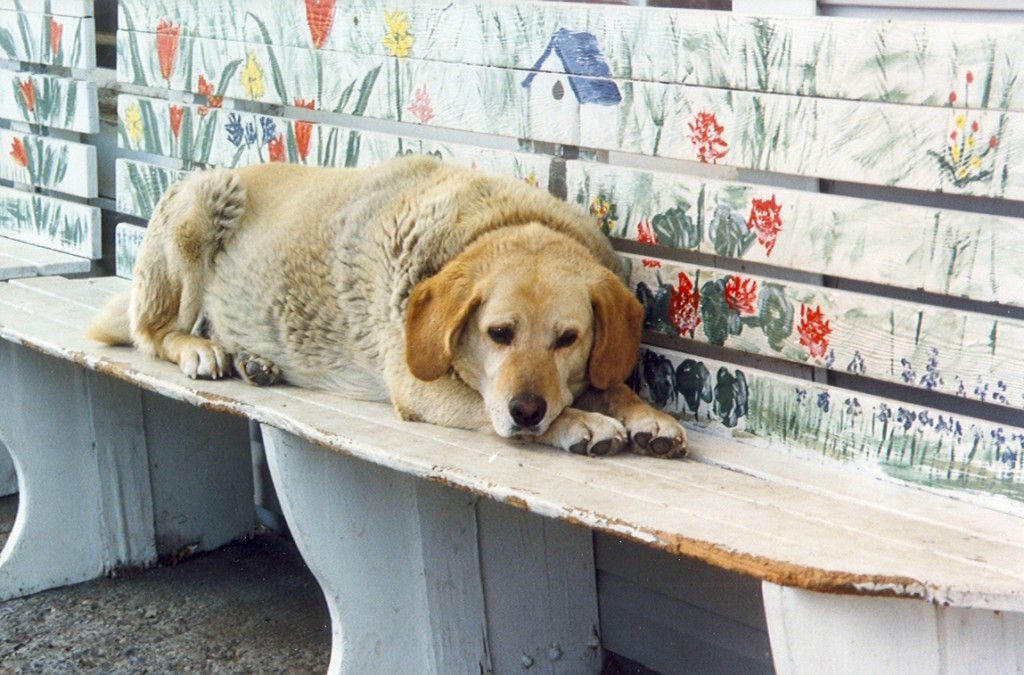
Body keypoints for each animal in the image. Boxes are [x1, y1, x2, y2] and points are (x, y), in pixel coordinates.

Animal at [88, 155, 688, 456]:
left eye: (568, 339)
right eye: (498, 333)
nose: (527, 410)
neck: (495, 223)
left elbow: (615, 386)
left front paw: (647, 416)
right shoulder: (421, 388)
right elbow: (510, 406)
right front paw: (580, 422)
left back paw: (255, 362)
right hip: (201, 206)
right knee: (154, 331)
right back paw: (201, 350)